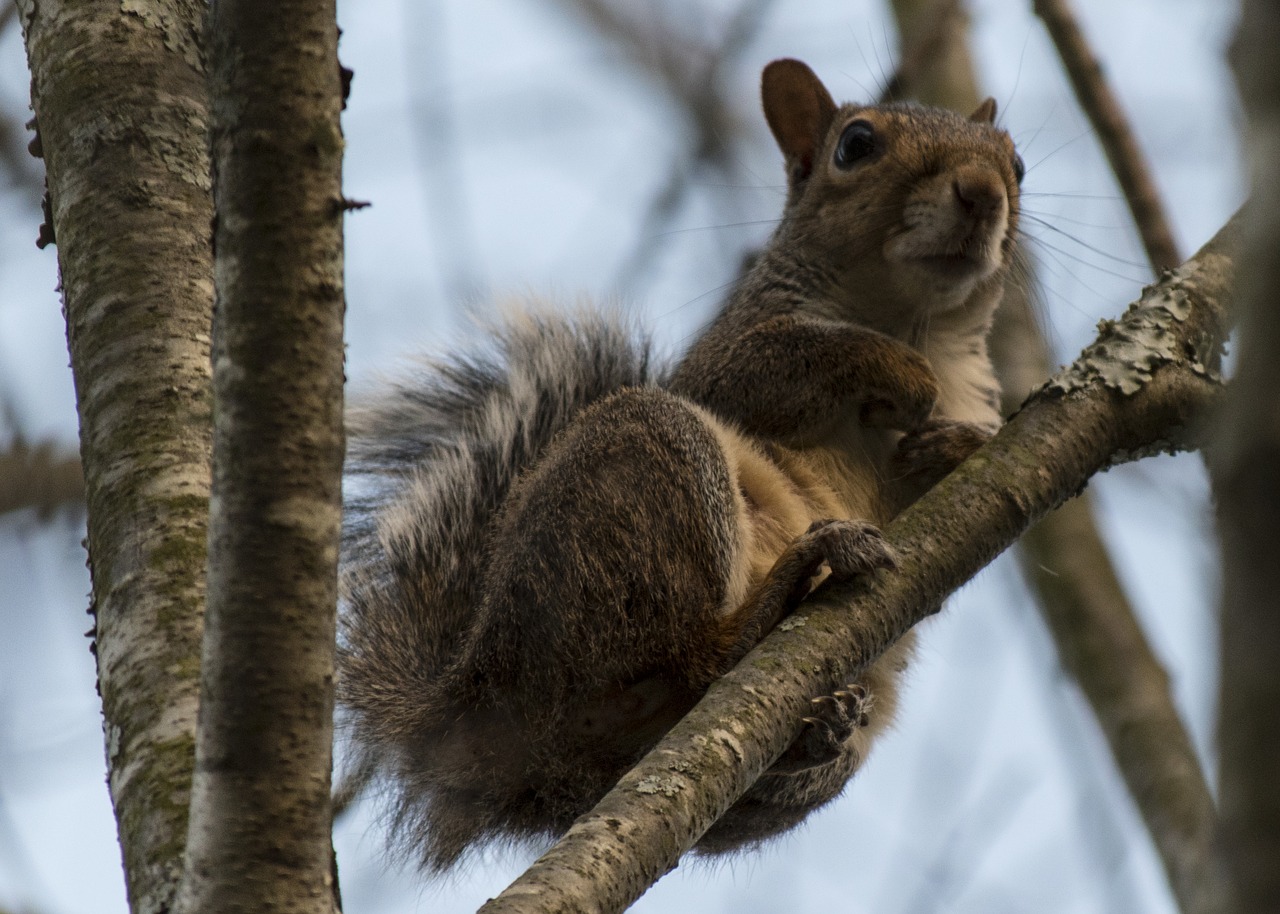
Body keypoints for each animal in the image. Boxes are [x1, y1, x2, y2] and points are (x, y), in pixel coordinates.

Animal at [337, 58, 1018, 870]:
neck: (915, 321)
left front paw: (958, 445)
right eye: (856, 145)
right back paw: (777, 599)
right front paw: (903, 378)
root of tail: (489, 715)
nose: (983, 191)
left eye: (1016, 163)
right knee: (688, 658)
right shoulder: (725, 361)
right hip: (650, 465)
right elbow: (784, 365)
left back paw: (818, 732)